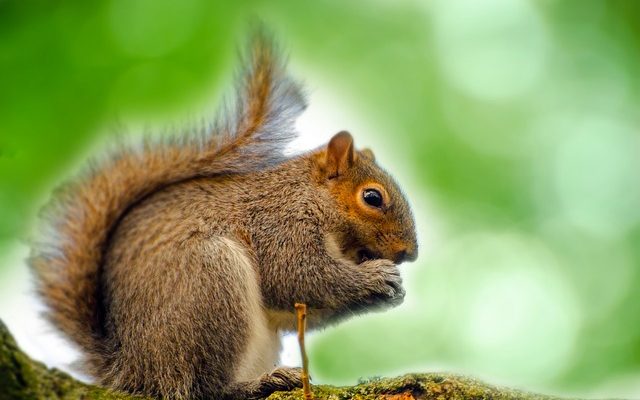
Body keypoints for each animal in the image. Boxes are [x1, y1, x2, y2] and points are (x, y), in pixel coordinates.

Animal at [31, 31, 420, 400]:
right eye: (372, 197)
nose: (409, 254)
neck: (311, 198)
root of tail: (132, 372)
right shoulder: (280, 225)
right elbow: (300, 277)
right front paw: (378, 278)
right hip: (211, 286)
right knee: (203, 387)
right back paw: (257, 384)